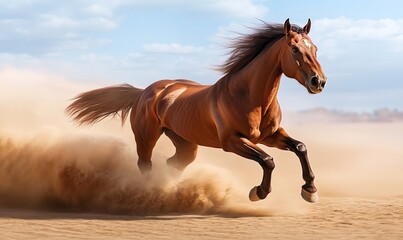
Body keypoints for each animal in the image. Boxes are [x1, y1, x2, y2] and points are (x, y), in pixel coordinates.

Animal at [65, 18, 326, 202]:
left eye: (315, 48)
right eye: (294, 49)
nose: (318, 82)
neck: (250, 97)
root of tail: (144, 92)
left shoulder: (270, 135)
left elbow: (300, 147)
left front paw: (310, 190)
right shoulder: (232, 142)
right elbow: (268, 160)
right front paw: (258, 192)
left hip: (185, 143)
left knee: (173, 163)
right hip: (146, 138)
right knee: (145, 165)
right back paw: (152, 193)